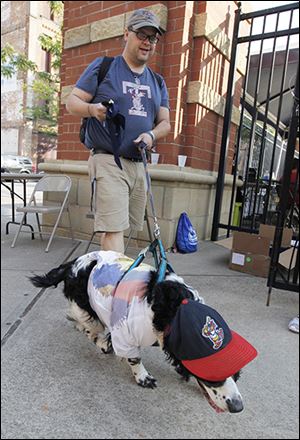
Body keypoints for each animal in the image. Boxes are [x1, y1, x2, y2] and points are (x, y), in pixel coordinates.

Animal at [29, 251, 256, 412]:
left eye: (237, 373)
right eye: (213, 377)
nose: (238, 407)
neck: (174, 311)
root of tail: (75, 262)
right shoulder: (127, 331)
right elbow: (135, 359)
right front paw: (143, 378)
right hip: (87, 308)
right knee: (87, 324)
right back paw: (99, 340)